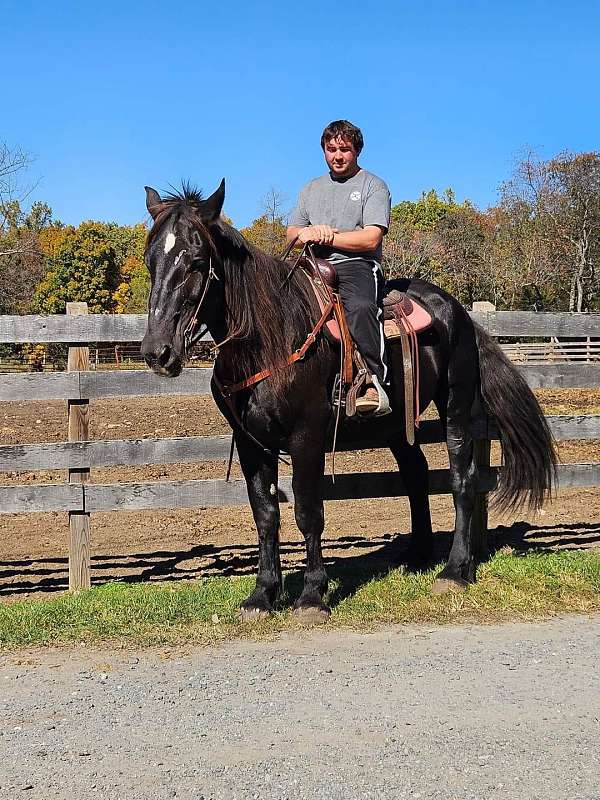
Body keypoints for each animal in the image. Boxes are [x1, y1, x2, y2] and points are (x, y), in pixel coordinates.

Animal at [143, 183, 556, 624]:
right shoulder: (252, 443)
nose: (158, 352)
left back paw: (455, 570)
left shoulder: (306, 438)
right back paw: (417, 555)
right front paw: (262, 595)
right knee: (415, 474)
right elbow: (265, 514)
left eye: (196, 261)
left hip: (457, 406)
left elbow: (308, 511)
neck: (270, 337)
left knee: (463, 479)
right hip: (396, 425)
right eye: (152, 260)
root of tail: (459, 312)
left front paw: (312, 595)